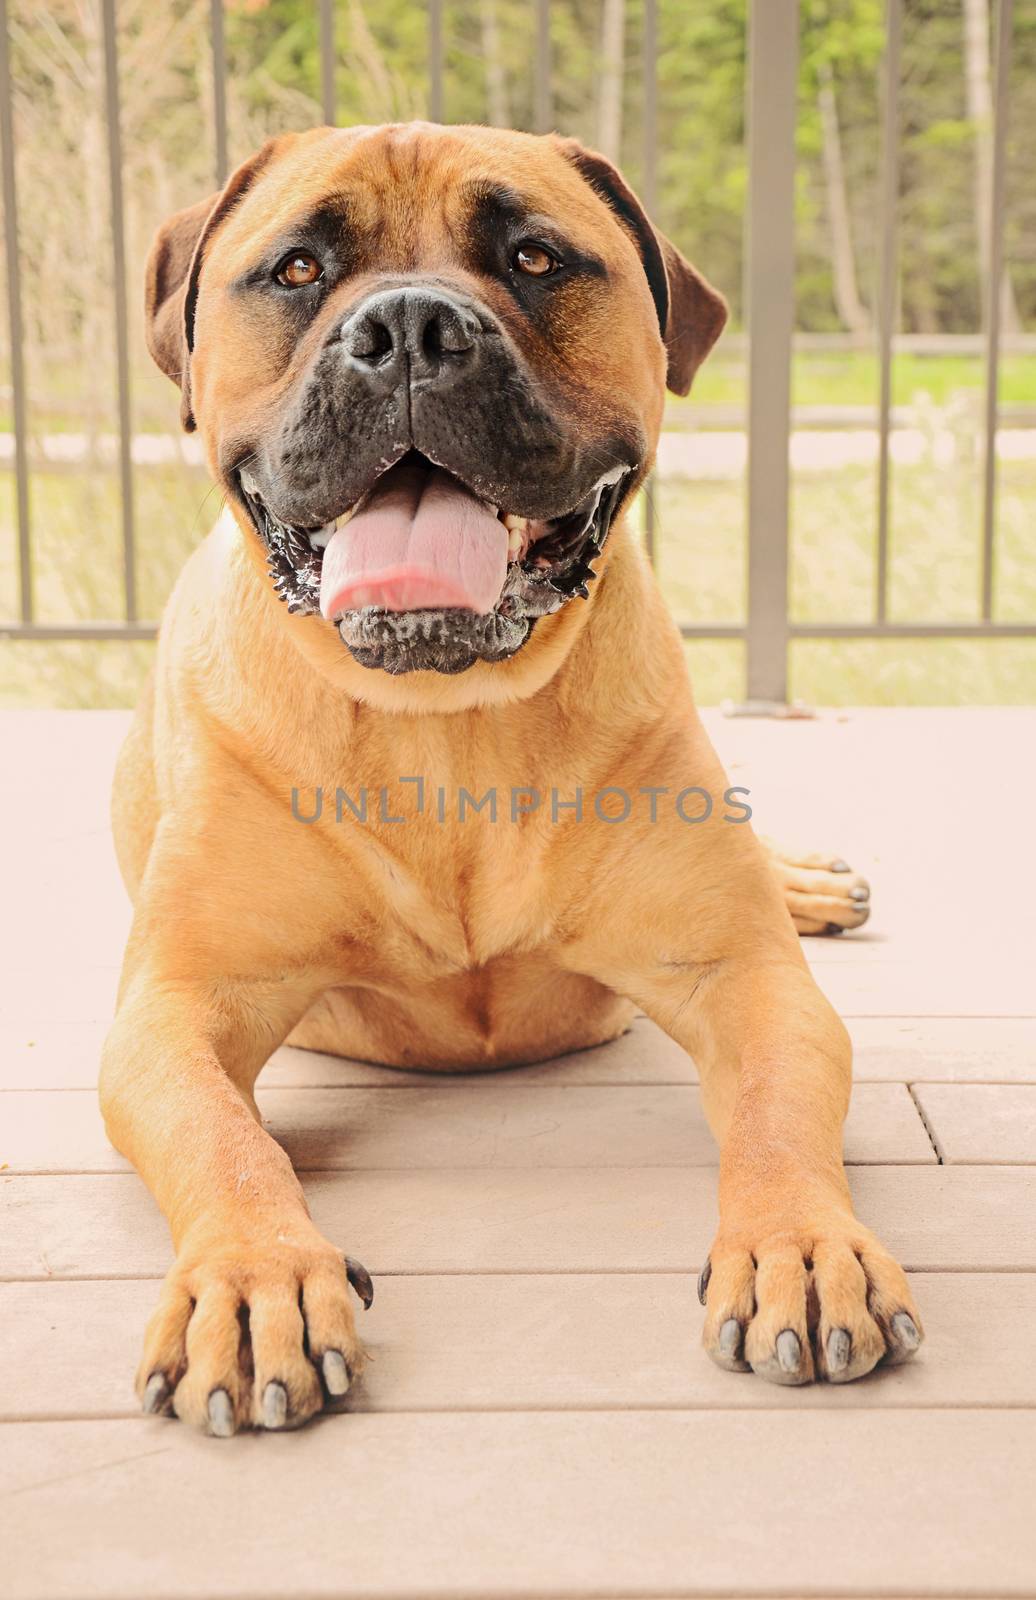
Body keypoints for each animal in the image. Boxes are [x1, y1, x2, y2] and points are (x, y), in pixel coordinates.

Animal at [99, 118, 920, 1433]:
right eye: (296, 269)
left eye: (535, 257)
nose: (410, 328)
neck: (446, 725)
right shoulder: (177, 1010)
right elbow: (225, 1138)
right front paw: (253, 1276)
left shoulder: (745, 980)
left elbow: (779, 1115)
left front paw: (801, 1242)